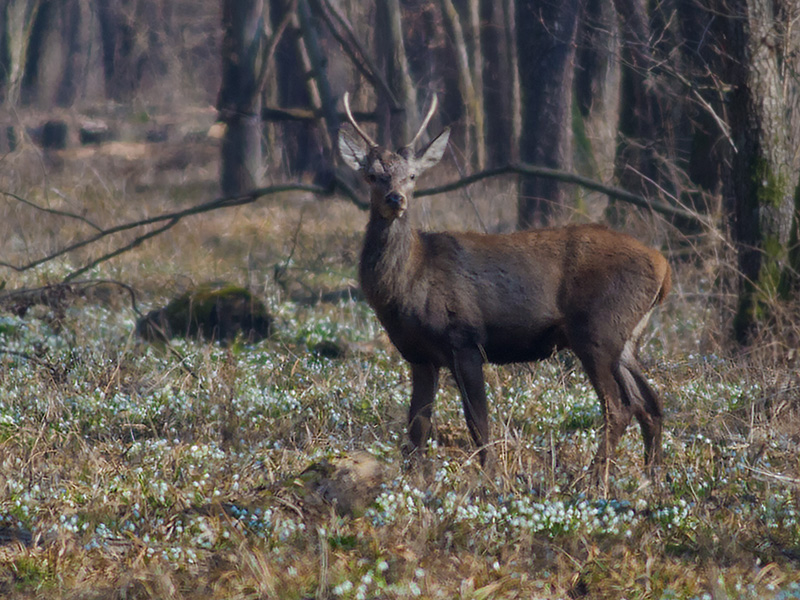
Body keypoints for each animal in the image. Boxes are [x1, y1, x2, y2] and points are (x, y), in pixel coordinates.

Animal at [338, 92, 668, 488]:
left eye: (412, 176)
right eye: (372, 175)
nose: (395, 199)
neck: (408, 285)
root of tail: (663, 265)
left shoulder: (464, 340)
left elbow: (478, 422)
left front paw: (492, 478)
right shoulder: (418, 354)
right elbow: (417, 425)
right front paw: (413, 481)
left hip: (596, 330)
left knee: (619, 407)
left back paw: (592, 479)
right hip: (626, 338)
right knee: (651, 404)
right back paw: (652, 478)